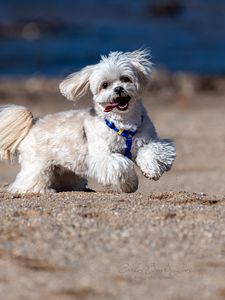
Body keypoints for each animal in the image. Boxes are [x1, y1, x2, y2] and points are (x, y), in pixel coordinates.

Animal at [0, 50, 176, 193]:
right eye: (104, 85)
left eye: (125, 78)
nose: (118, 89)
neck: (123, 123)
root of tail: (33, 124)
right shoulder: (103, 157)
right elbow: (121, 166)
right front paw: (130, 184)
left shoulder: (149, 139)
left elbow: (152, 152)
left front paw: (151, 170)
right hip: (37, 165)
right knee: (29, 180)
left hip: (65, 168)